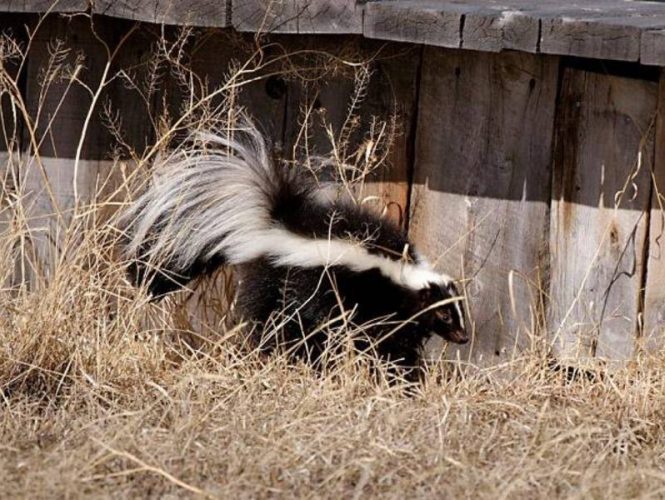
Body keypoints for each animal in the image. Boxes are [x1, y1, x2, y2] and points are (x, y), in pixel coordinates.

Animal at [119, 122, 466, 376]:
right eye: (445, 314)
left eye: (458, 312)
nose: (463, 337)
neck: (399, 270)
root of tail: (274, 223)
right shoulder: (369, 298)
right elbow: (380, 338)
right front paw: (394, 372)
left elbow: (401, 341)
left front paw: (406, 372)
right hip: (280, 282)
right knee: (277, 321)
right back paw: (277, 353)